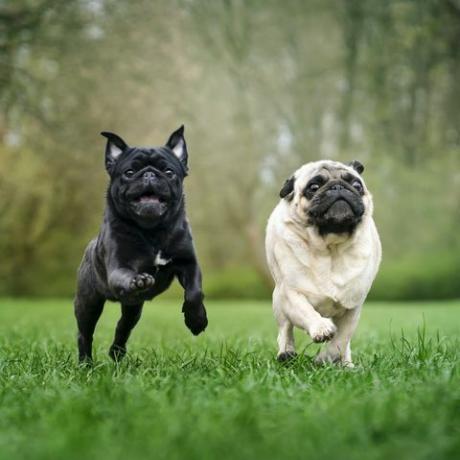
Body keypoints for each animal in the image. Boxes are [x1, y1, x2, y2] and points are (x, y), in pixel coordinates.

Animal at [74, 126, 208, 362]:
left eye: (169, 172)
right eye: (129, 173)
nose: (149, 174)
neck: (152, 230)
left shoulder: (188, 263)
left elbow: (194, 292)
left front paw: (196, 320)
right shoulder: (119, 266)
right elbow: (126, 274)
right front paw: (138, 280)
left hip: (133, 308)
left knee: (123, 327)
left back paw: (116, 353)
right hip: (88, 302)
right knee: (85, 333)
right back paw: (85, 363)